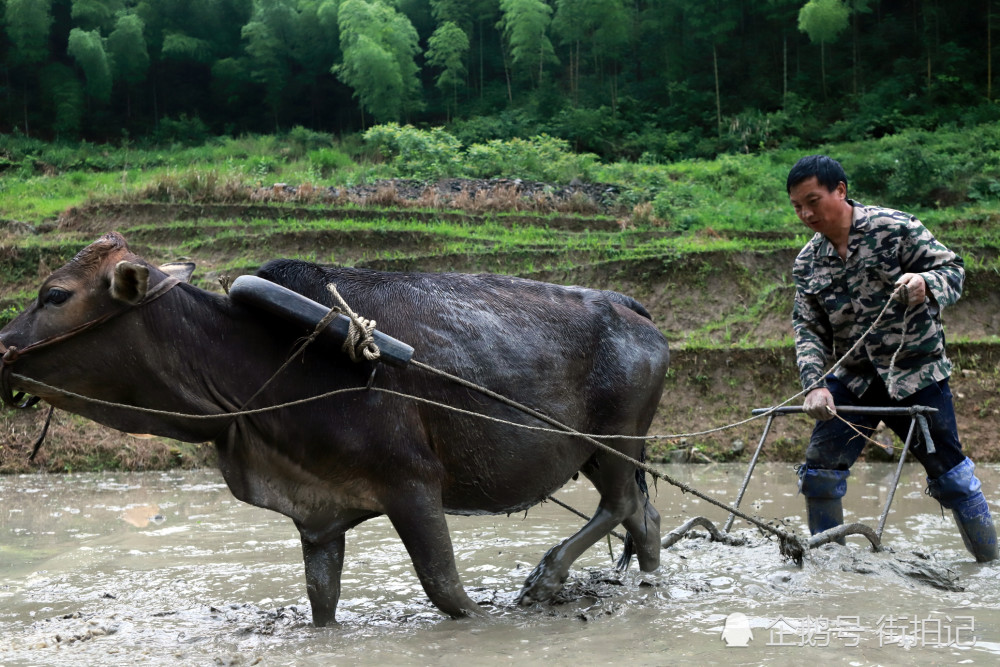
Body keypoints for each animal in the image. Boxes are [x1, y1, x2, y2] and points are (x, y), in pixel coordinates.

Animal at [3, 234, 672, 628]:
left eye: (54, 294)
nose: (2, 346)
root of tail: (629, 306)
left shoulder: (412, 486)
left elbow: (447, 590)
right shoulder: (319, 517)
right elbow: (321, 602)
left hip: (618, 443)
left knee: (621, 507)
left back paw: (548, 577)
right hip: (595, 453)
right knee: (645, 519)